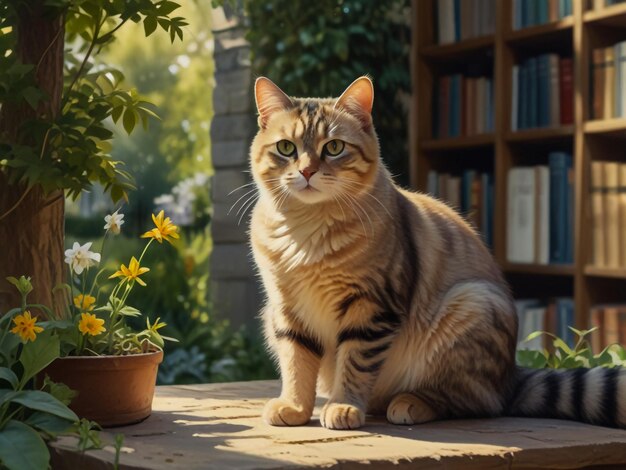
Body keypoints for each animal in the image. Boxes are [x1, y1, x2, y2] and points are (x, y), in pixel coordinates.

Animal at [246, 74, 620, 430]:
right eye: (286, 148)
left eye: (334, 147)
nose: (307, 171)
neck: (306, 232)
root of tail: (510, 377)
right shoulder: (287, 309)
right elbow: (297, 363)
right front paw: (294, 407)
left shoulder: (372, 307)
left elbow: (353, 363)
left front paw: (343, 406)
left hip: (469, 307)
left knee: (476, 401)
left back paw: (410, 403)